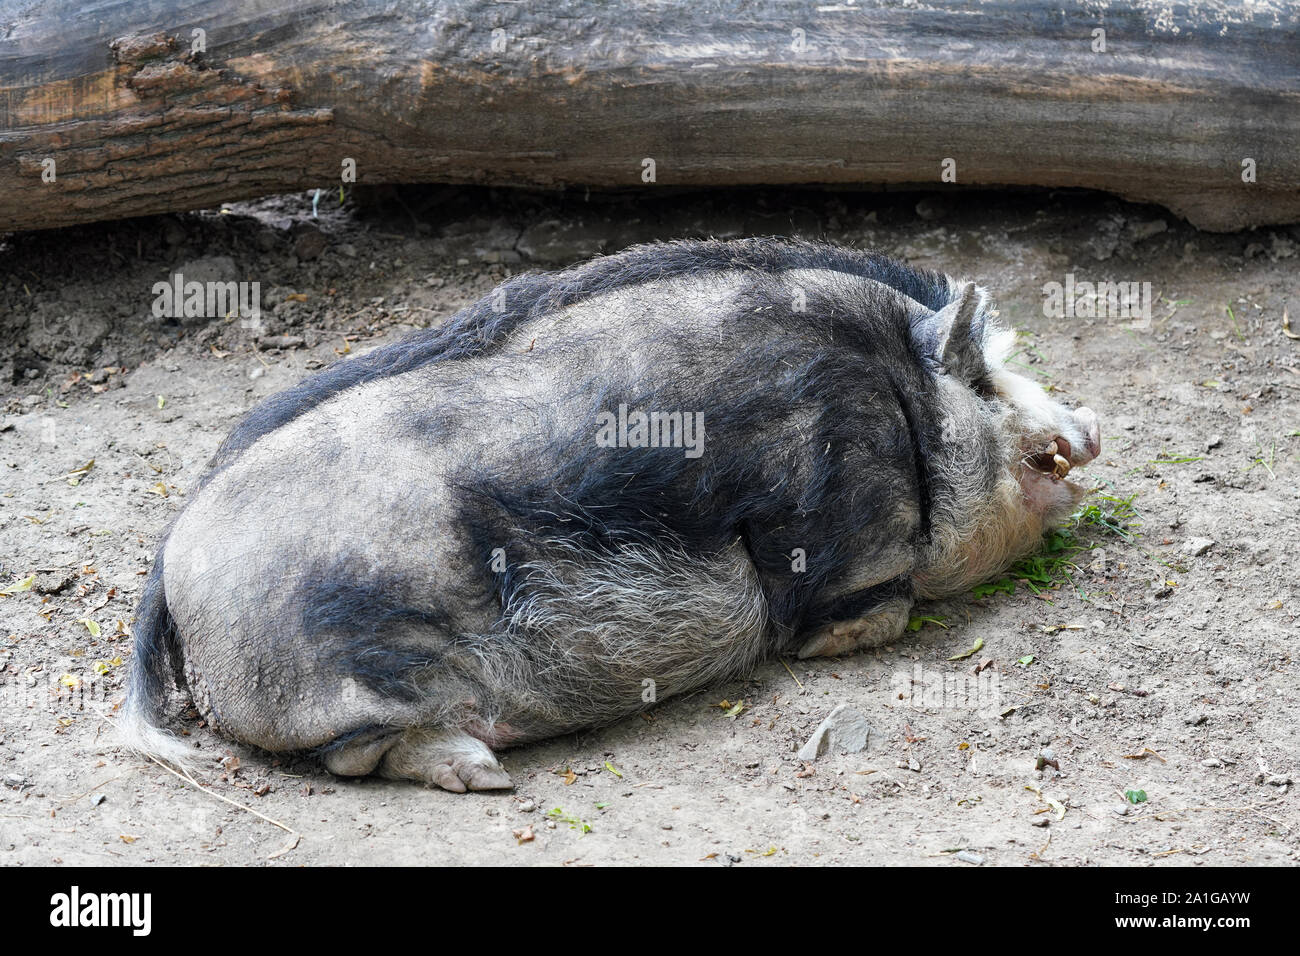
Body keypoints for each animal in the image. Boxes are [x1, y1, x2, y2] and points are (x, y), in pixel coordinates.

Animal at [119, 239, 1097, 790]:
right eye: (983, 380)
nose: (1089, 426)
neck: (897, 402)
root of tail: (167, 573)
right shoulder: (827, 527)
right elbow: (871, 608)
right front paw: (821, 647)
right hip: (339, 680)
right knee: (354, 753)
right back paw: (483, 776)